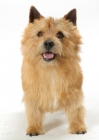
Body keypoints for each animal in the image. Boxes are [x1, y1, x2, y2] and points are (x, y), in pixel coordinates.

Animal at [21, 6, 86, 136]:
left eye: (60, 34)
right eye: (40, 34)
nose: (48, 42)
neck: (51, 69)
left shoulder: (74, 93)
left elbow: (76, 110)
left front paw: (78, 126)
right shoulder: (32, 95)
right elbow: (33, 112)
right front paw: (34, 128)